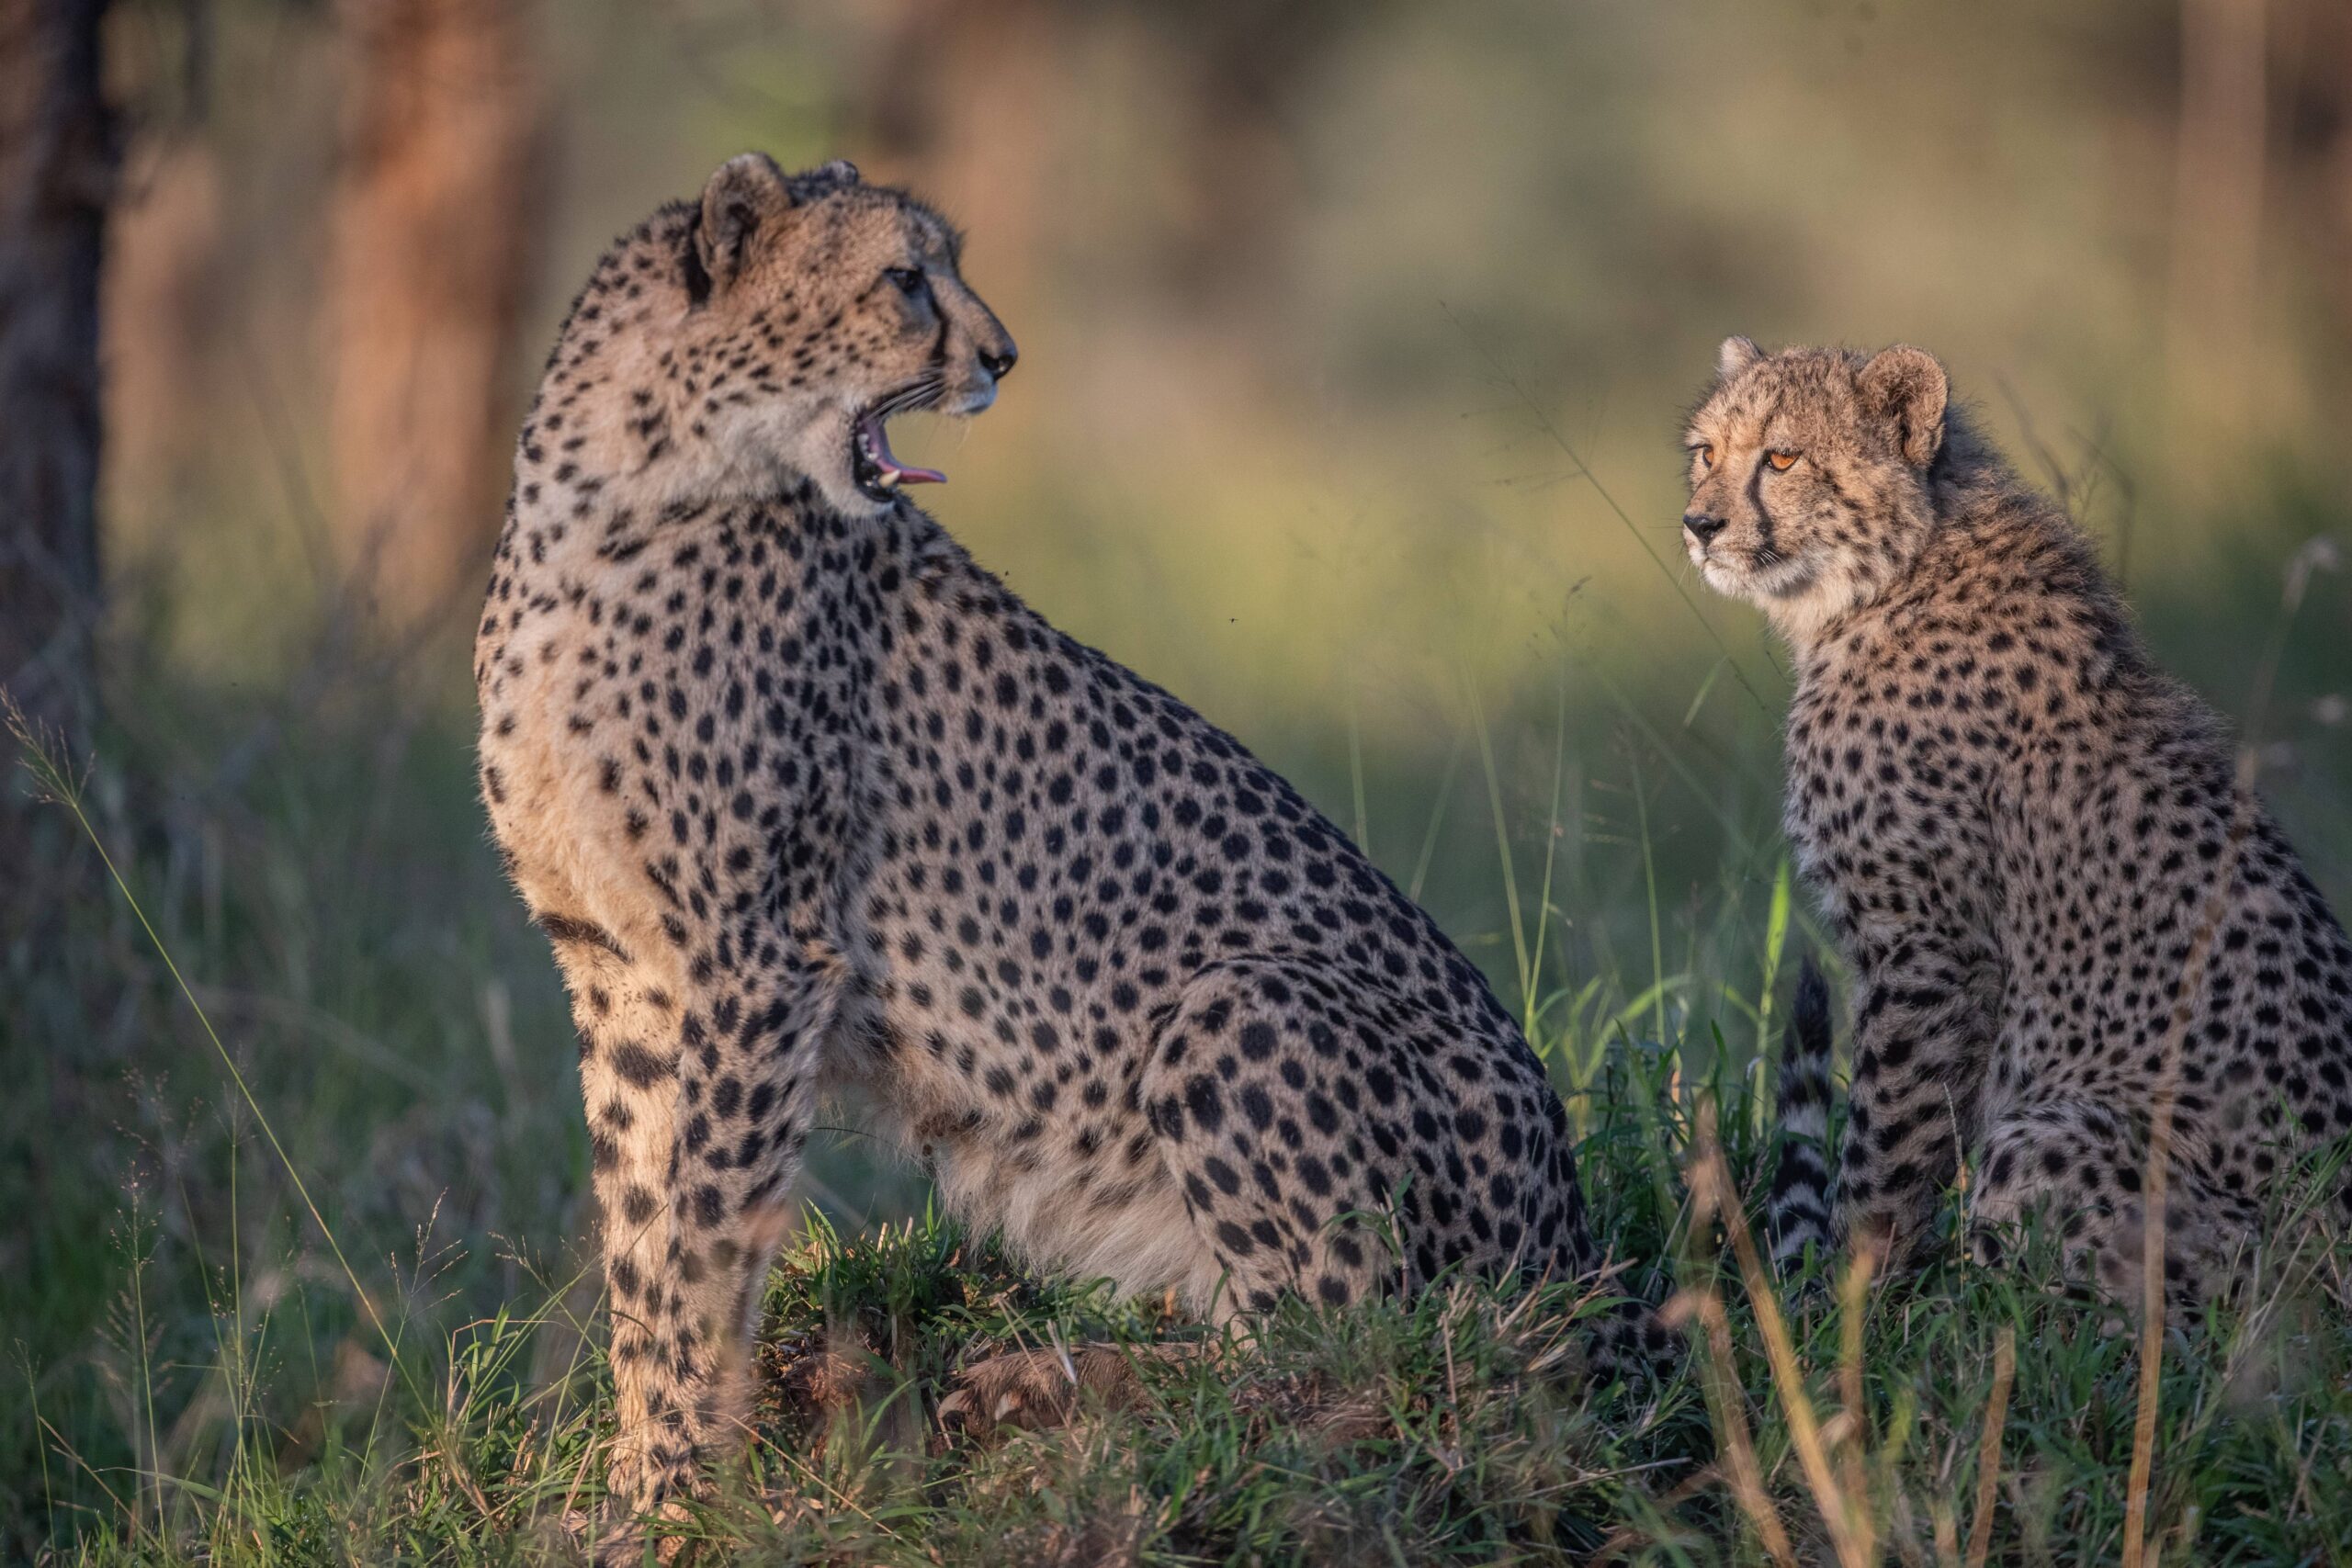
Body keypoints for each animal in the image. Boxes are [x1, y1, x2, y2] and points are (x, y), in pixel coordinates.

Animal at [474, 153, 1651, 1554]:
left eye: (943, 265)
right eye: (903, 278)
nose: (1002, 356)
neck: (621, 494)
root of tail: (1577, 1239)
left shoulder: (755, 959)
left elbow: (701, 1245)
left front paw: (674, 1498)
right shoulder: (622, 969)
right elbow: (642, 1236)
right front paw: (627, 1480)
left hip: (1235, 1004)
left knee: (1354, 1350)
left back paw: (1052, 1398)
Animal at [1683, 336, 2352, 1315]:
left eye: (1784, 457)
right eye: (1705, 452)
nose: (1698, 524)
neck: (1888, 575)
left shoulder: (1932, 951)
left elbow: (1884, 1146)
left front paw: (1845, 1303)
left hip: (2056, 1145)